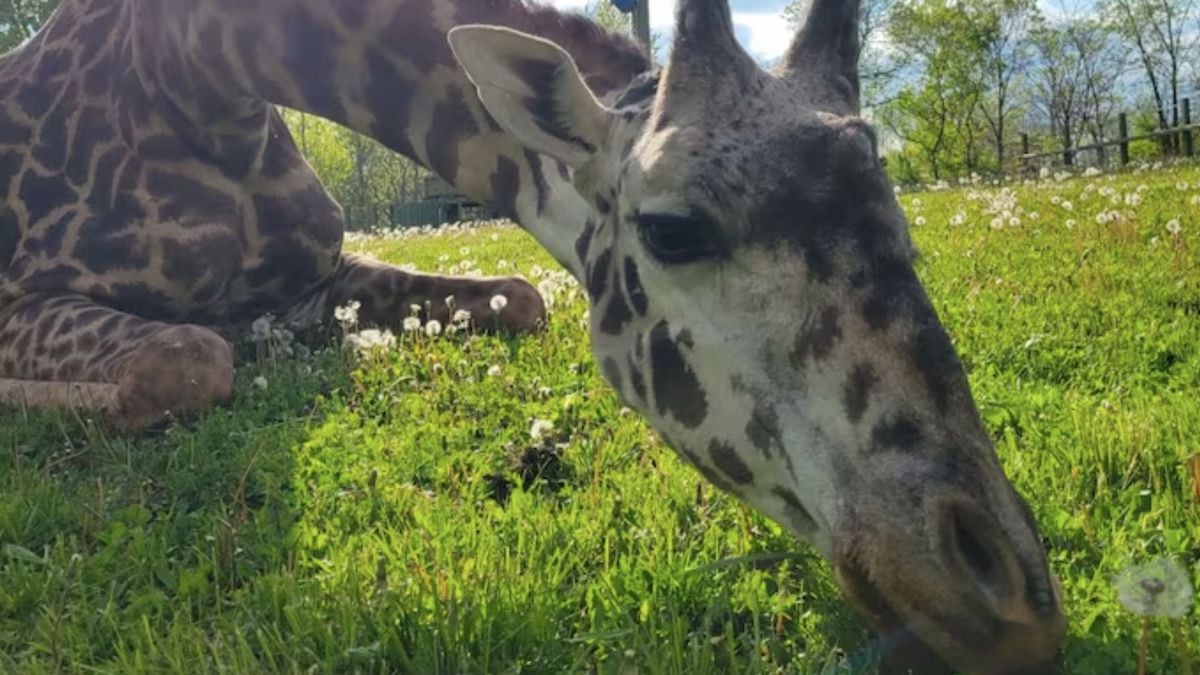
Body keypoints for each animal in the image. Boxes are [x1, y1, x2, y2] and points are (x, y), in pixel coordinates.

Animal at [0, 0, 1067, 672]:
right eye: (672, 229)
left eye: (897, 211)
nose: (1011, 595)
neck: (198, 75)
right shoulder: (20, 295)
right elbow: (185, 356)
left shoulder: (320, 277)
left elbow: (522, 296)